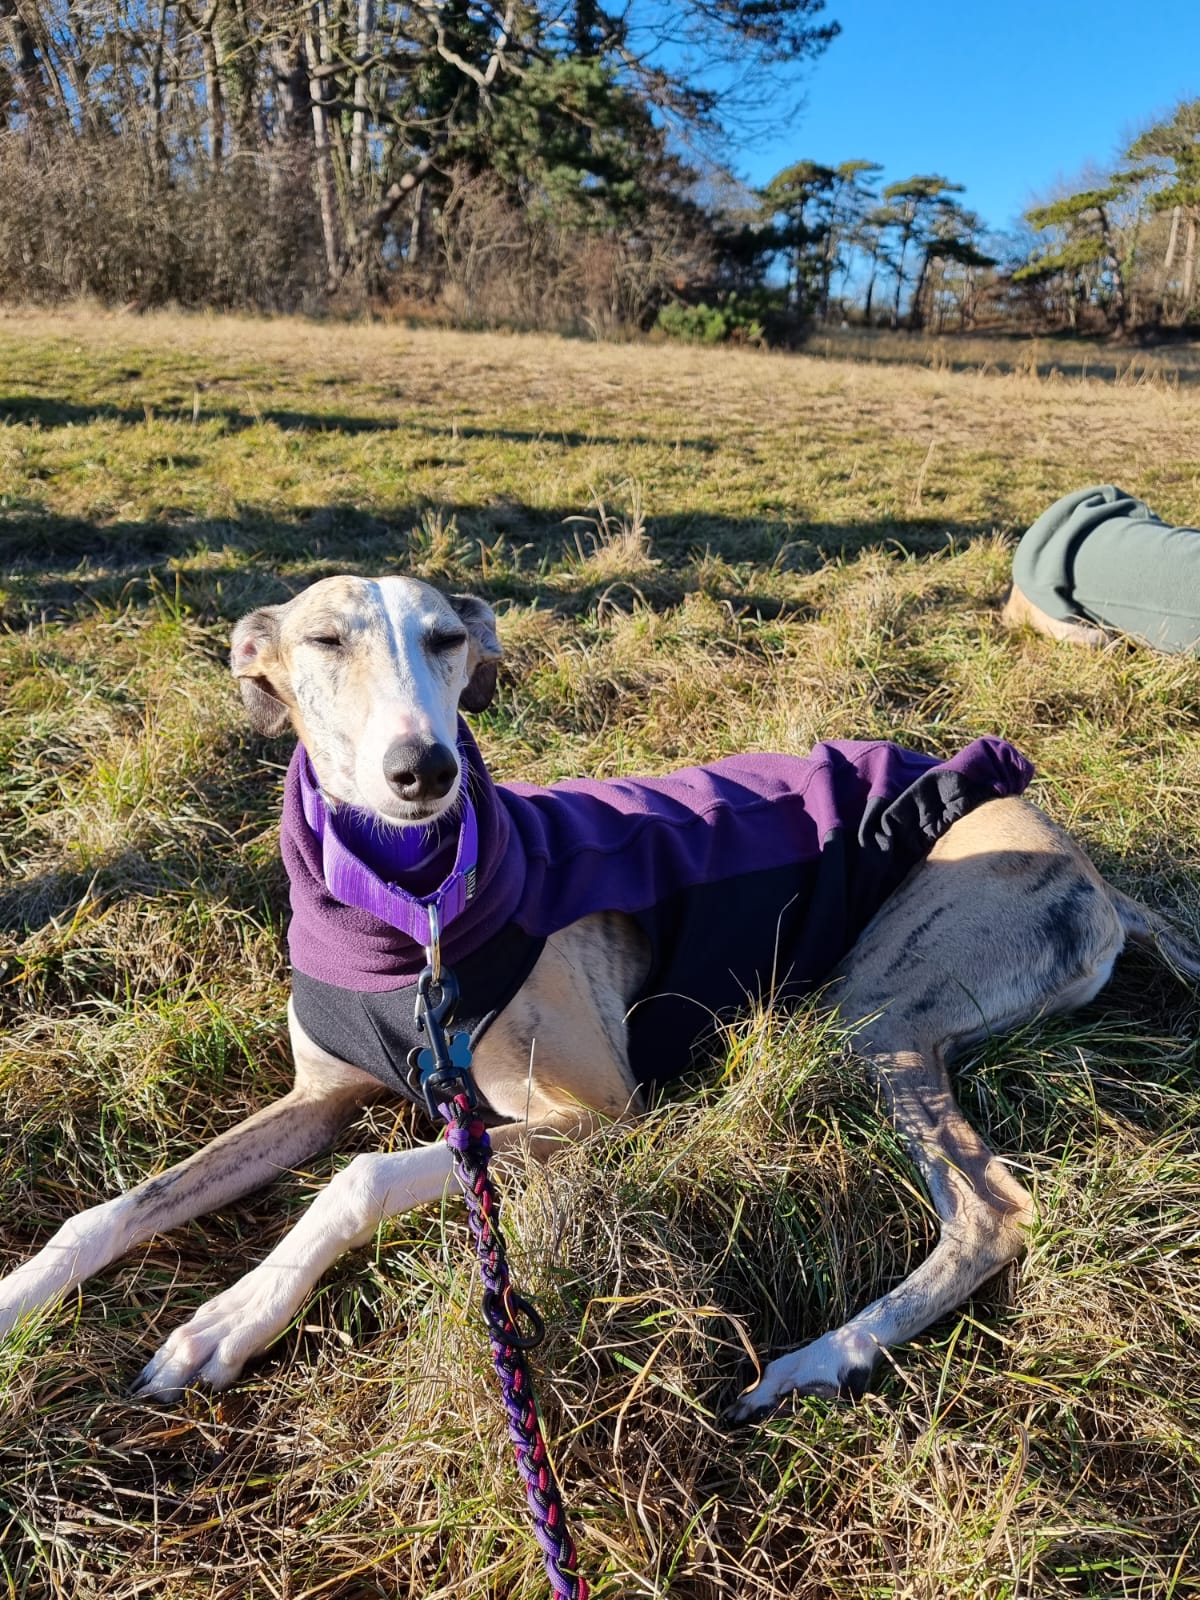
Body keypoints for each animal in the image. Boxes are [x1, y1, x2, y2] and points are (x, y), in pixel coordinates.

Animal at [1, 574, 1196, 1422]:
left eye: (447, 637)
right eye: (325, 641)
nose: (424, 771)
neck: (406, 905)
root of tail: (1097, 873)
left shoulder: (595, 1116)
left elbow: (360, 1176)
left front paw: (233, 1316)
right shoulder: (315, 1098)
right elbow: (118, 1206)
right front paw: (19, 1295)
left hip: (879, 1012)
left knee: (994, 1213)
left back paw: (818, 1359)